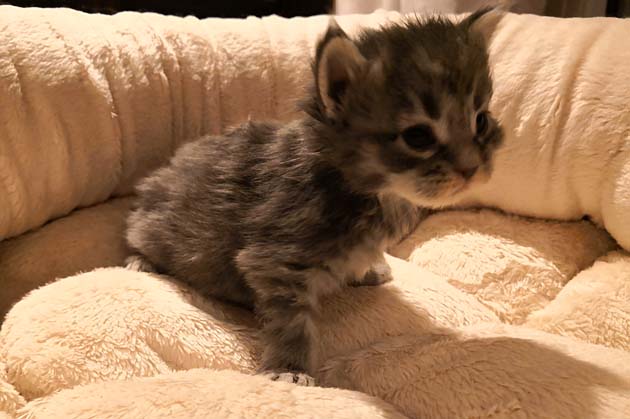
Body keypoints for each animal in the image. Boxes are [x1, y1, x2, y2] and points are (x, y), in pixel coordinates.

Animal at [125, 8, 503, 385]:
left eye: (481, 121)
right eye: (419, 137)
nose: (471, 168)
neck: (367, 191)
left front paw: (367, 268)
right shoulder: (276, 260)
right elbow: (292, 322)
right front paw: (288, 368)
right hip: (154, 225)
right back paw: (141, 261)